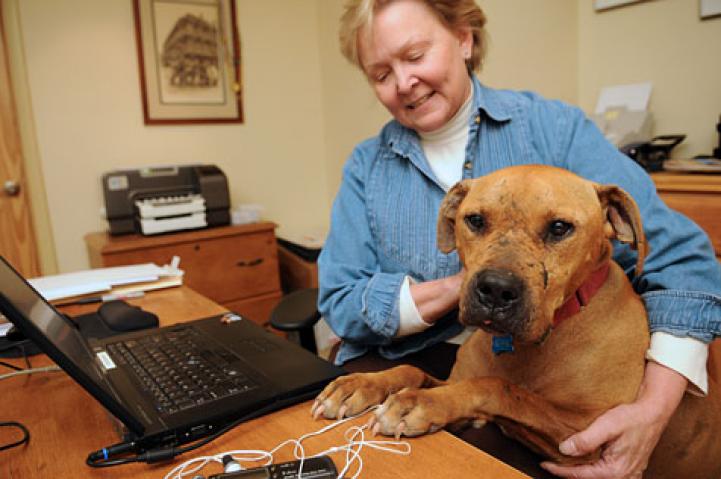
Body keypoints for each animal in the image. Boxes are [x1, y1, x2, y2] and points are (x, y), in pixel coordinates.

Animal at [312, 164, 720, 476]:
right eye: (475, 220)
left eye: (560, 228)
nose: (495, 289)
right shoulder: (458, 394)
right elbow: (414, 371)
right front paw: (363, 384)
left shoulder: (587, 434)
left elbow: (500, 387)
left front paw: (419, 402)